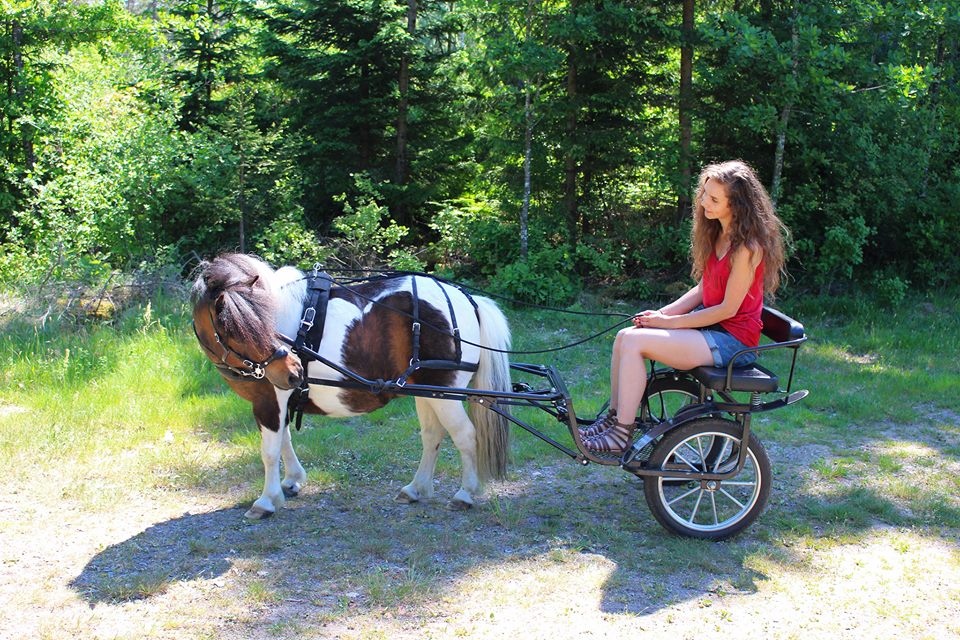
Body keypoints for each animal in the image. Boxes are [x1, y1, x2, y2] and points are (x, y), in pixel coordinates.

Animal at [190, 253, 512, 519]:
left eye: (263, 323)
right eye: (236, 330)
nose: (294, 372)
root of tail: (468, 300)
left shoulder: (271, 398)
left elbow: (269, 450)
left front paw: (267, 500)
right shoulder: (274, 401)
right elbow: (284, 440)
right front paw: (291, 481)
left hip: (445, 393)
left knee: (465, 436)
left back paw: (465, 494)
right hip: (427, 392)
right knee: (432, 436)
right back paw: (416, 488)